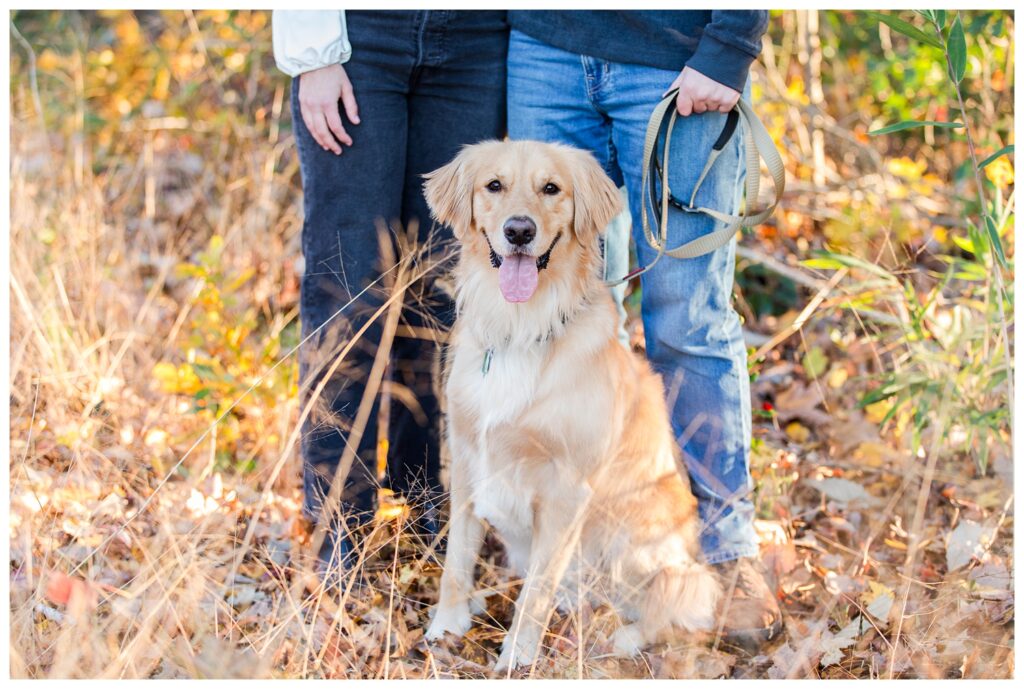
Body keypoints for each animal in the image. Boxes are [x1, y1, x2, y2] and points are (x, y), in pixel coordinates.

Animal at [419, 139, 716, 671]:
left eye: (551, 188)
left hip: (634, 537)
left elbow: (535, 590)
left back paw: (626, 638)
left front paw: (517, 657)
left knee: (671, 602)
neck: (520, 325)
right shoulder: (470, 460)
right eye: (494, 185)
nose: (519, 231)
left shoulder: (567, 489)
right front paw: (446, 627)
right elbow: (457, 560)